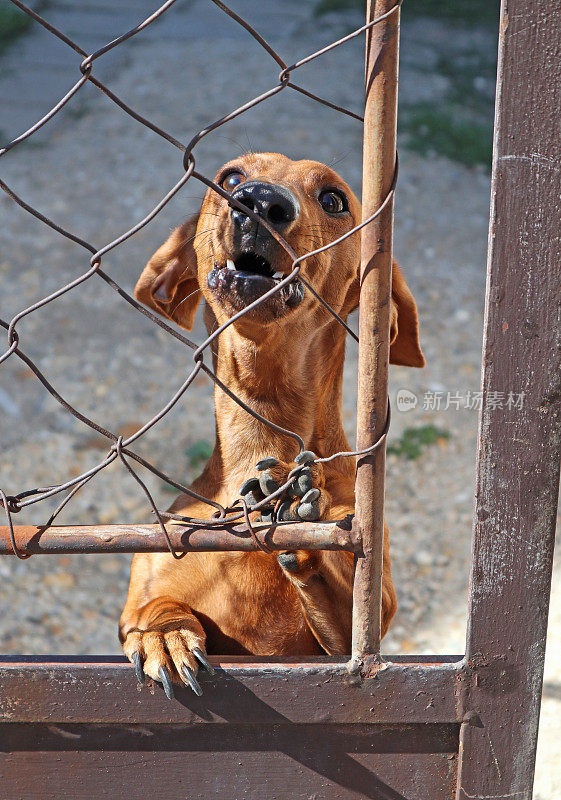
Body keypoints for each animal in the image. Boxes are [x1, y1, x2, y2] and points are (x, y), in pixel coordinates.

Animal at [120, 153, 422, 696]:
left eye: (333, 199)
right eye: (230, 177)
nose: (260, 201)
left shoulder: (356, 631)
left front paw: (295, 504)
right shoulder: (146, 582)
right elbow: (153, 607)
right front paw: (165, 634)